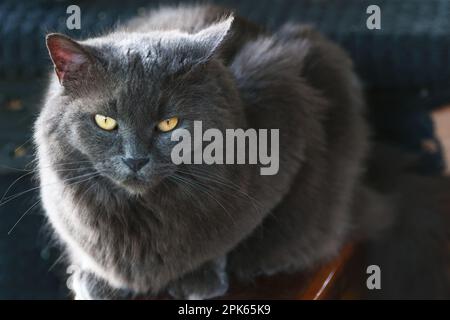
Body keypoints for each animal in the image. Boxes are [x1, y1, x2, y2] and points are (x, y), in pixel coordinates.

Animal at [33, 4, 448, 300]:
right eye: (106, 121)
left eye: (169, 124)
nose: (135, 159)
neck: (142, 215)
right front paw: (94, 279)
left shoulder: (285, 130)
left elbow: (228, 236)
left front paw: (201, 278)